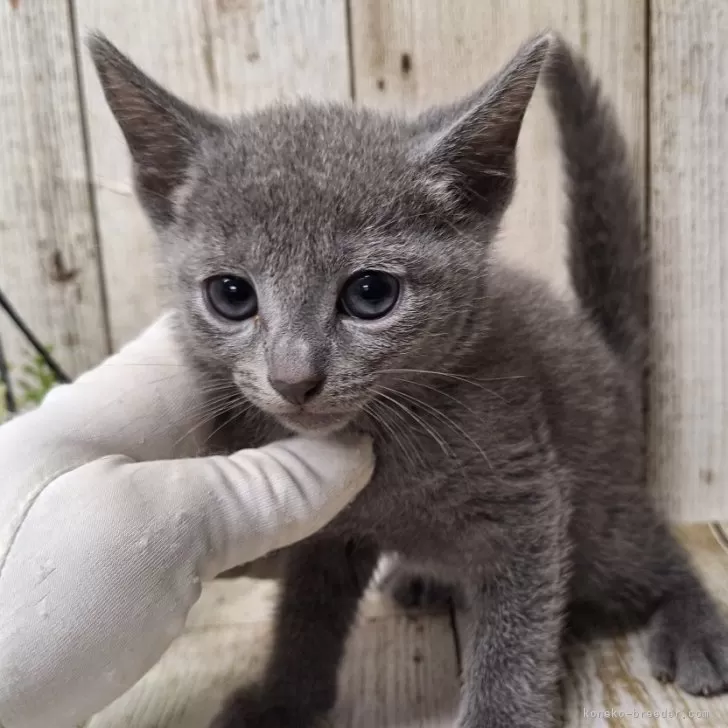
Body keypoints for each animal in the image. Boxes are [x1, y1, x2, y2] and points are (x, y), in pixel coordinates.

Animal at [91, 29, 728, 728]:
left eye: (371, 293)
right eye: (231, 295)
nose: (294, 377)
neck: (387, 451)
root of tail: (604, 355)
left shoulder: (529, 497)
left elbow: (515, 633)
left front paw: (500, 716)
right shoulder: (328, 530)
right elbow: (305, 617)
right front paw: (282, 700)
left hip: (603, 517)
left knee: (655, 557)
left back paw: (694, 628)